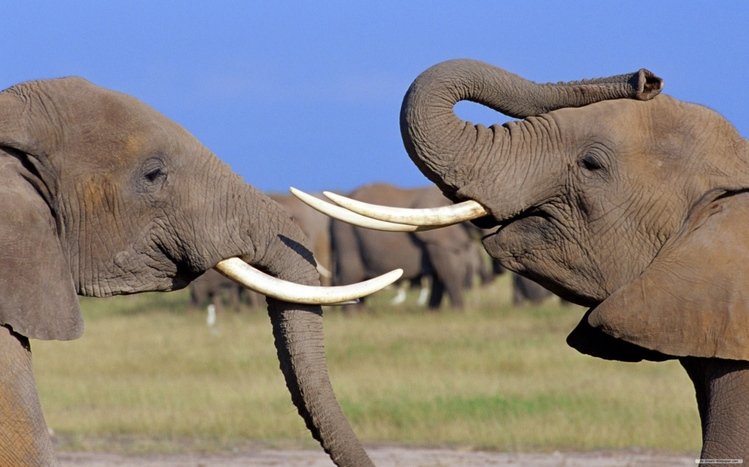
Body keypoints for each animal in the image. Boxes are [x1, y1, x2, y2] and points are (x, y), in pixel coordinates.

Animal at [328, 183, 484, 310]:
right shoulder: (436, 238)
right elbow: (448, 269)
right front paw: (458, 310)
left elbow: (441, 273)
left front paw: (433, 312)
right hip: (346, 237)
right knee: (351, 273)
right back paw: (354, 315)